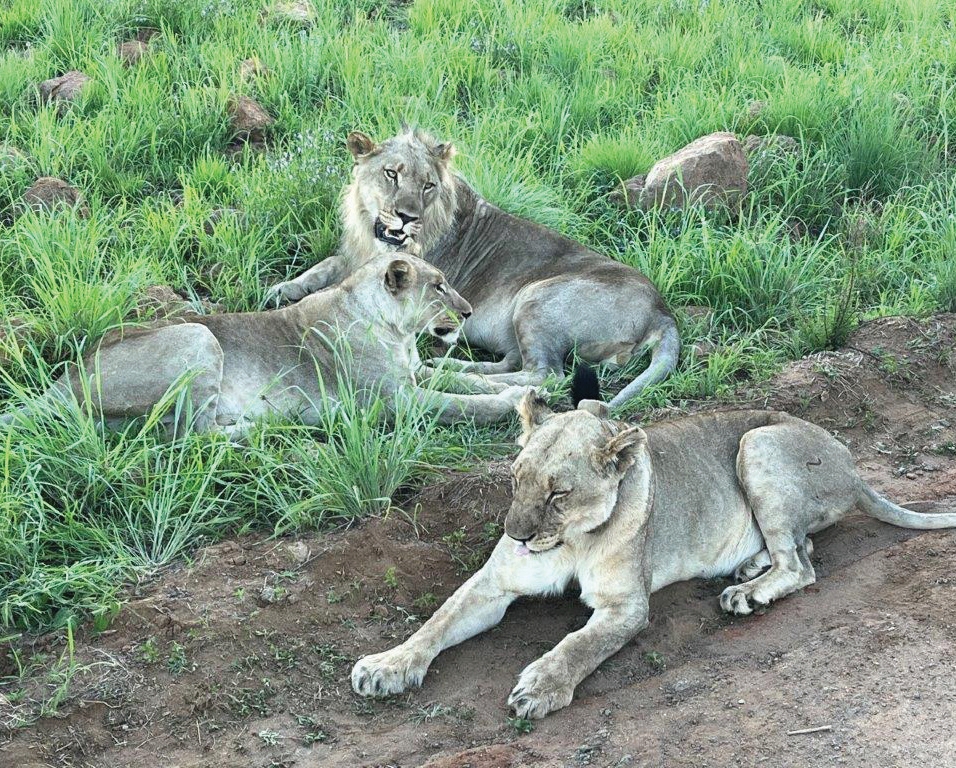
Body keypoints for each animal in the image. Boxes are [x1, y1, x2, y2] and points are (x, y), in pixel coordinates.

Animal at [1, 256, 531, 434]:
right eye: (438, 287)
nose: (467, 312)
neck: (395, 329)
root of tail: (62, 379)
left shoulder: (414, 374)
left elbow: (462, 380)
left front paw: (522, 389)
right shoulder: (395, 399)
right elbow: (463, 405)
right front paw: (514, 401)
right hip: (197, 337)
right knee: (194, 435)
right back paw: (278, 428)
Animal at [267, 128, 679, 408]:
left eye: (428, 185)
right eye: (391, 174)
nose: (407, 217)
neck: (374, 236)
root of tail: (664, 311)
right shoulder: (355, 255)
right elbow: (326, 265)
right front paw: (283, 289)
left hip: (537, 296)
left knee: (547, 373)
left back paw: (467, 374)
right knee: (516, 360)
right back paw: (458, 368)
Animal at [351, 373, 956, 719]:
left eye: (559, 493)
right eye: (516, 477)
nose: (517, 536)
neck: (571, 542)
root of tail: (852, 464)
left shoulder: (626, 607)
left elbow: (577, 645)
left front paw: (542, 686)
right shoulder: (494, 582)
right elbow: (438, 620)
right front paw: (386, 666)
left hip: (757, 442)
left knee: (802, 565)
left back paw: (746, 593)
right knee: (801, 546)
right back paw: (749, 568)